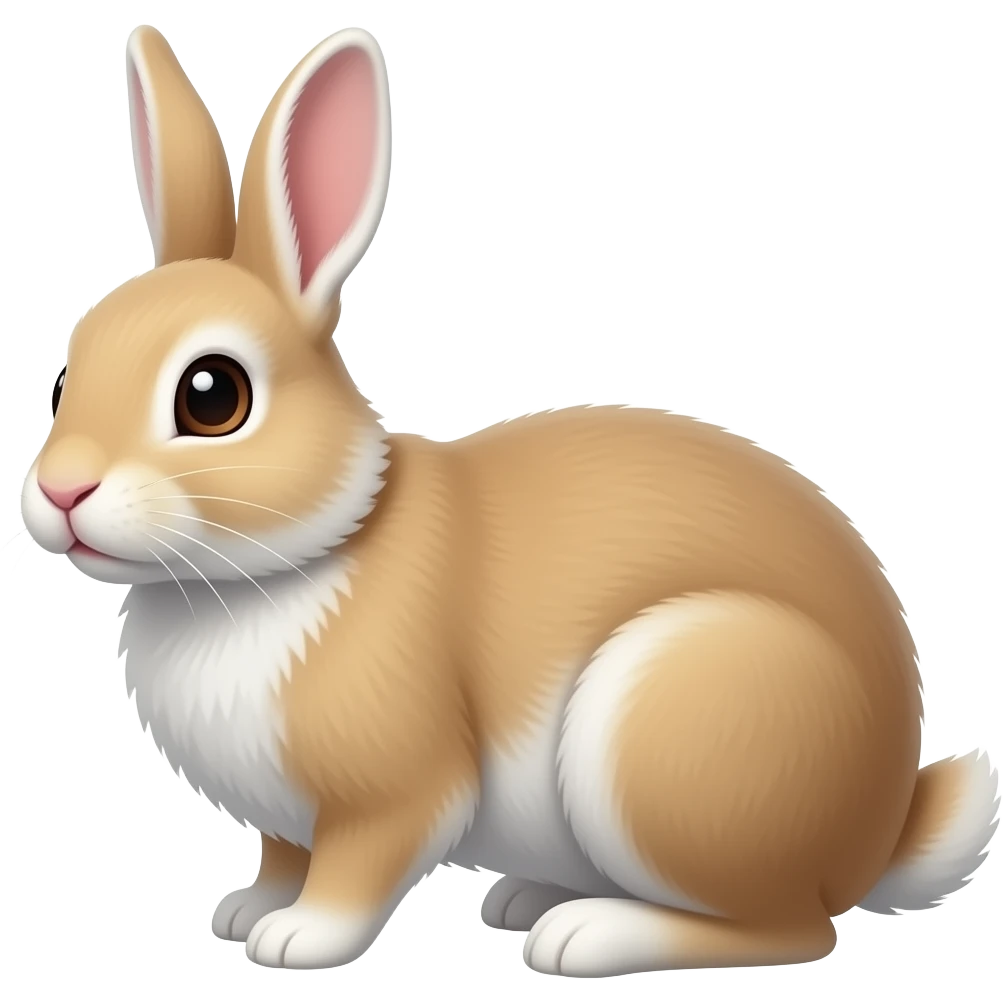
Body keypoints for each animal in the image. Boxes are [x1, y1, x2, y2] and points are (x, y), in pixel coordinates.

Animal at [19, 24, 1000, 977]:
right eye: (66, 372)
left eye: (212, 396)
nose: (61, 489)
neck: (301, 552)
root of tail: (878, 829)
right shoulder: (284, 818)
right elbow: (281, 856)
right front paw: (244, 910)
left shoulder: (396, 789)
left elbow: (355, 869)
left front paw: (296, 939)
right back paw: (527, 898)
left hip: (671, 725)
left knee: (791, 927)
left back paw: (586, 935)